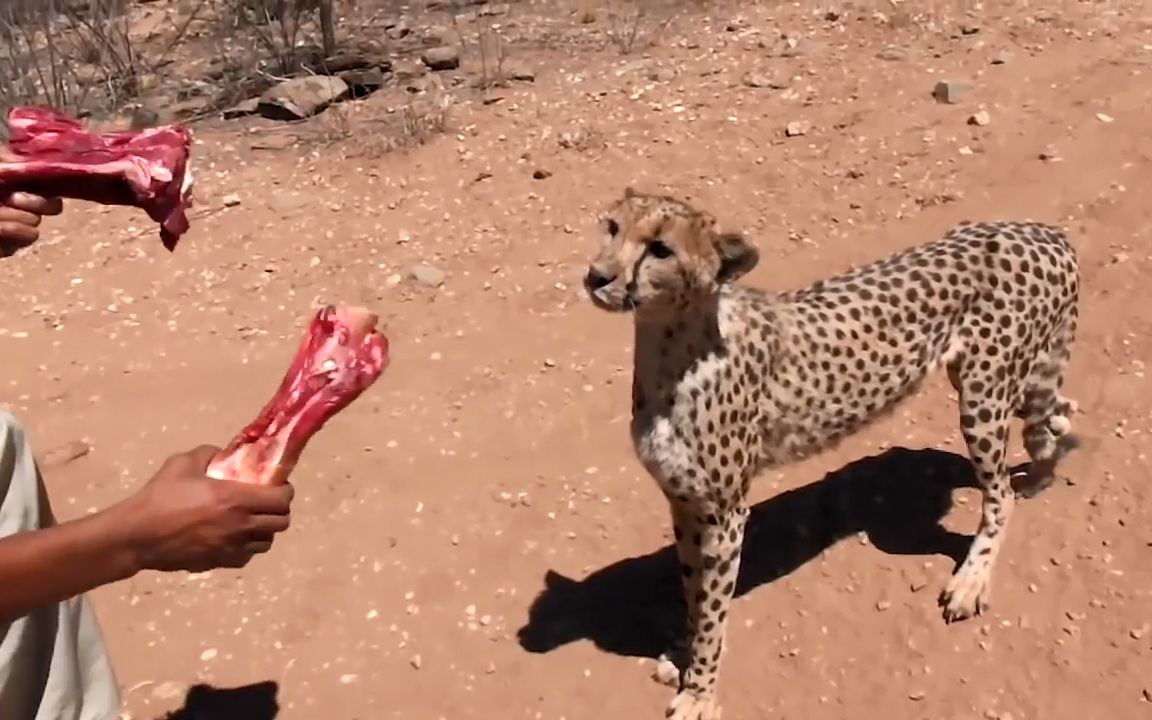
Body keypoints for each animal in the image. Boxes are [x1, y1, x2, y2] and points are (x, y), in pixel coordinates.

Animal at [585, 187, 1078, 714]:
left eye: (660, 249)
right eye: (611, 227)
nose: (597, 276)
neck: (671, 346)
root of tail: (1042, 231)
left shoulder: (724, 513)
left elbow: (713, 606)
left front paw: (700, 690)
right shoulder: (684, 503)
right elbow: (694, 590)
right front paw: (686, 655)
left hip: (982, 398)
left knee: (1001, 492)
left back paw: (972, 580)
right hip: (1007, 382)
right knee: (1050, 423)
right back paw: (1042, 472)